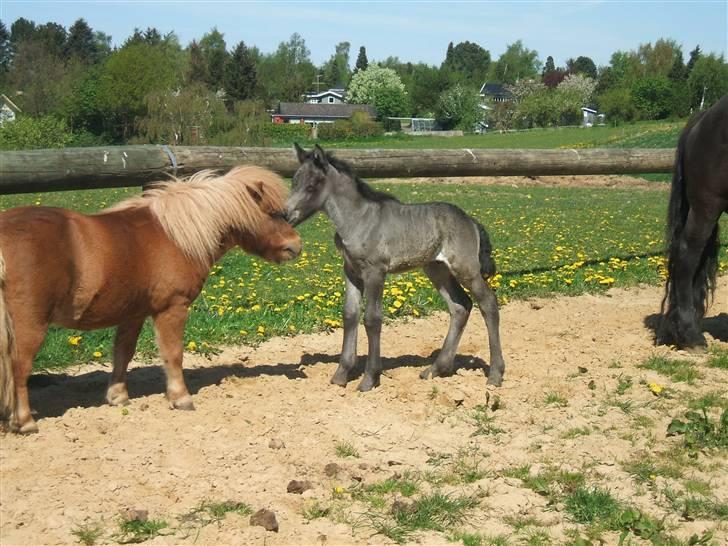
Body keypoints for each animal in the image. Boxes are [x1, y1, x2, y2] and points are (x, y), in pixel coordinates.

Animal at [0, 164, 302, 432]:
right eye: (273, 213)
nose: (295, 247)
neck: (176, 237)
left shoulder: (133, 313)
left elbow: (123, 353)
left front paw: (118, 396)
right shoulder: (173, 308)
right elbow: (173, 354)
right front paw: (181, 398)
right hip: (30, 325)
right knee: (19, 366)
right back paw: (25, 421)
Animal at [286, 143, 506, 392]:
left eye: (312, 185)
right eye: (294, 181)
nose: (285, 215)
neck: (358, 219)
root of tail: (470, 221)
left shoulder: (375, 272)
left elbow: (372, 319)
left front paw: (369, 378)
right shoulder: (351, 271)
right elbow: (350, 314)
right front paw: (341, 374)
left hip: (466, 268)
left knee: (488, 303)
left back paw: (495, 375)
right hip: (436, 269)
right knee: (460, 305)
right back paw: (435, 369)